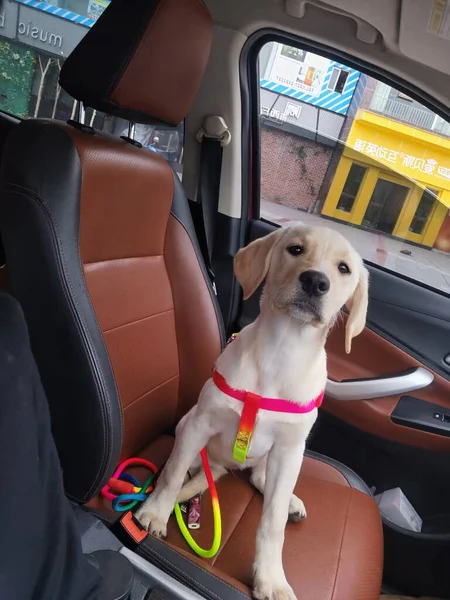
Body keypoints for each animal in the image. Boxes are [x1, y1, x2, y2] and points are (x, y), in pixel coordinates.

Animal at [137, 225, 370, 600]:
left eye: (344, 268)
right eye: (295, 249)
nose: (315, 281)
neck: (282, 351)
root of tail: (227, 465)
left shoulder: (290, 450)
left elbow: (273, 523)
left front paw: (271, 579)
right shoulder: (200, 424)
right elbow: (171, 475)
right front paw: (155, 514)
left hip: (280, 460)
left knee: (263, 481)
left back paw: (289, 501)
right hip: (187, 426)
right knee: (183, 467)